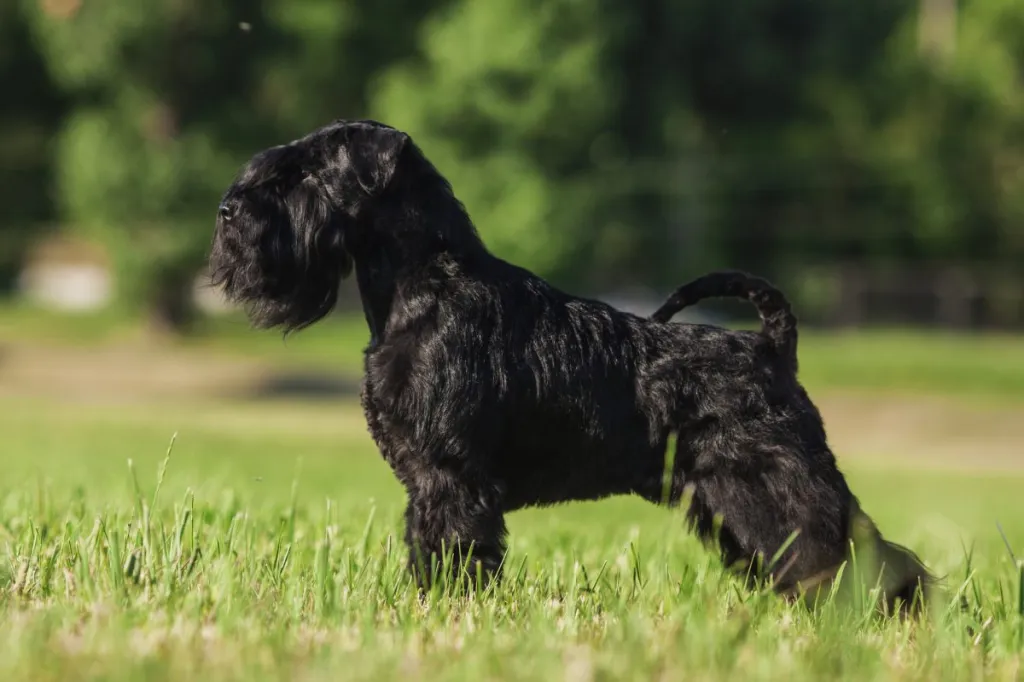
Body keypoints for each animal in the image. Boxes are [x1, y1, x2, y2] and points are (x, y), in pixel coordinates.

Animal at [209, 116, 937, 610]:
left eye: (307, 173)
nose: (228, 211)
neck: (425, 286)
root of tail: (770, 347)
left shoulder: (450, 477)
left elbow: (454, 548)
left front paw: (449, 610)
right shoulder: (427, 482)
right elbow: (427, 546)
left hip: (777, 484)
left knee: (862, 552)